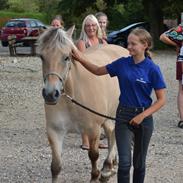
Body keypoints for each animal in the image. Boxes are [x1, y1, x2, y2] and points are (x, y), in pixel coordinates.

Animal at [37, 26, 129, 183]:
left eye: (66, 57)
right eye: (42, 57)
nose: (50, 94)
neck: (71, 98)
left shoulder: (93, 130)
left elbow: (93, 155)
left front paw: (96, 176)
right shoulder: (55, 131)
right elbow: (55, 166)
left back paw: (108, 167)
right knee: (111, 131)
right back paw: (109, 165)